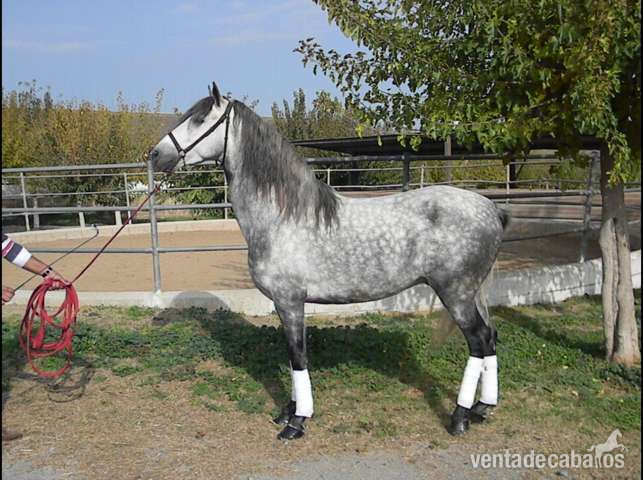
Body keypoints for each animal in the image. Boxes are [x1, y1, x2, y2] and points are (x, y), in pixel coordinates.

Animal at [149, 82, 509, 440]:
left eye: (199, 119)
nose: (155, 155)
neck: (283, 216)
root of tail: (492, 210)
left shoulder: (289, 301)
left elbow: (297, 355)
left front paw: (297, 422)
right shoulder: (286, 304)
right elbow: (291, 355)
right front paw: (288, 412)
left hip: (456, 293)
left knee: (478, 341)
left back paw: (460, 417)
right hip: (471, 293)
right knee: (490, 337)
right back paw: (483, 408)